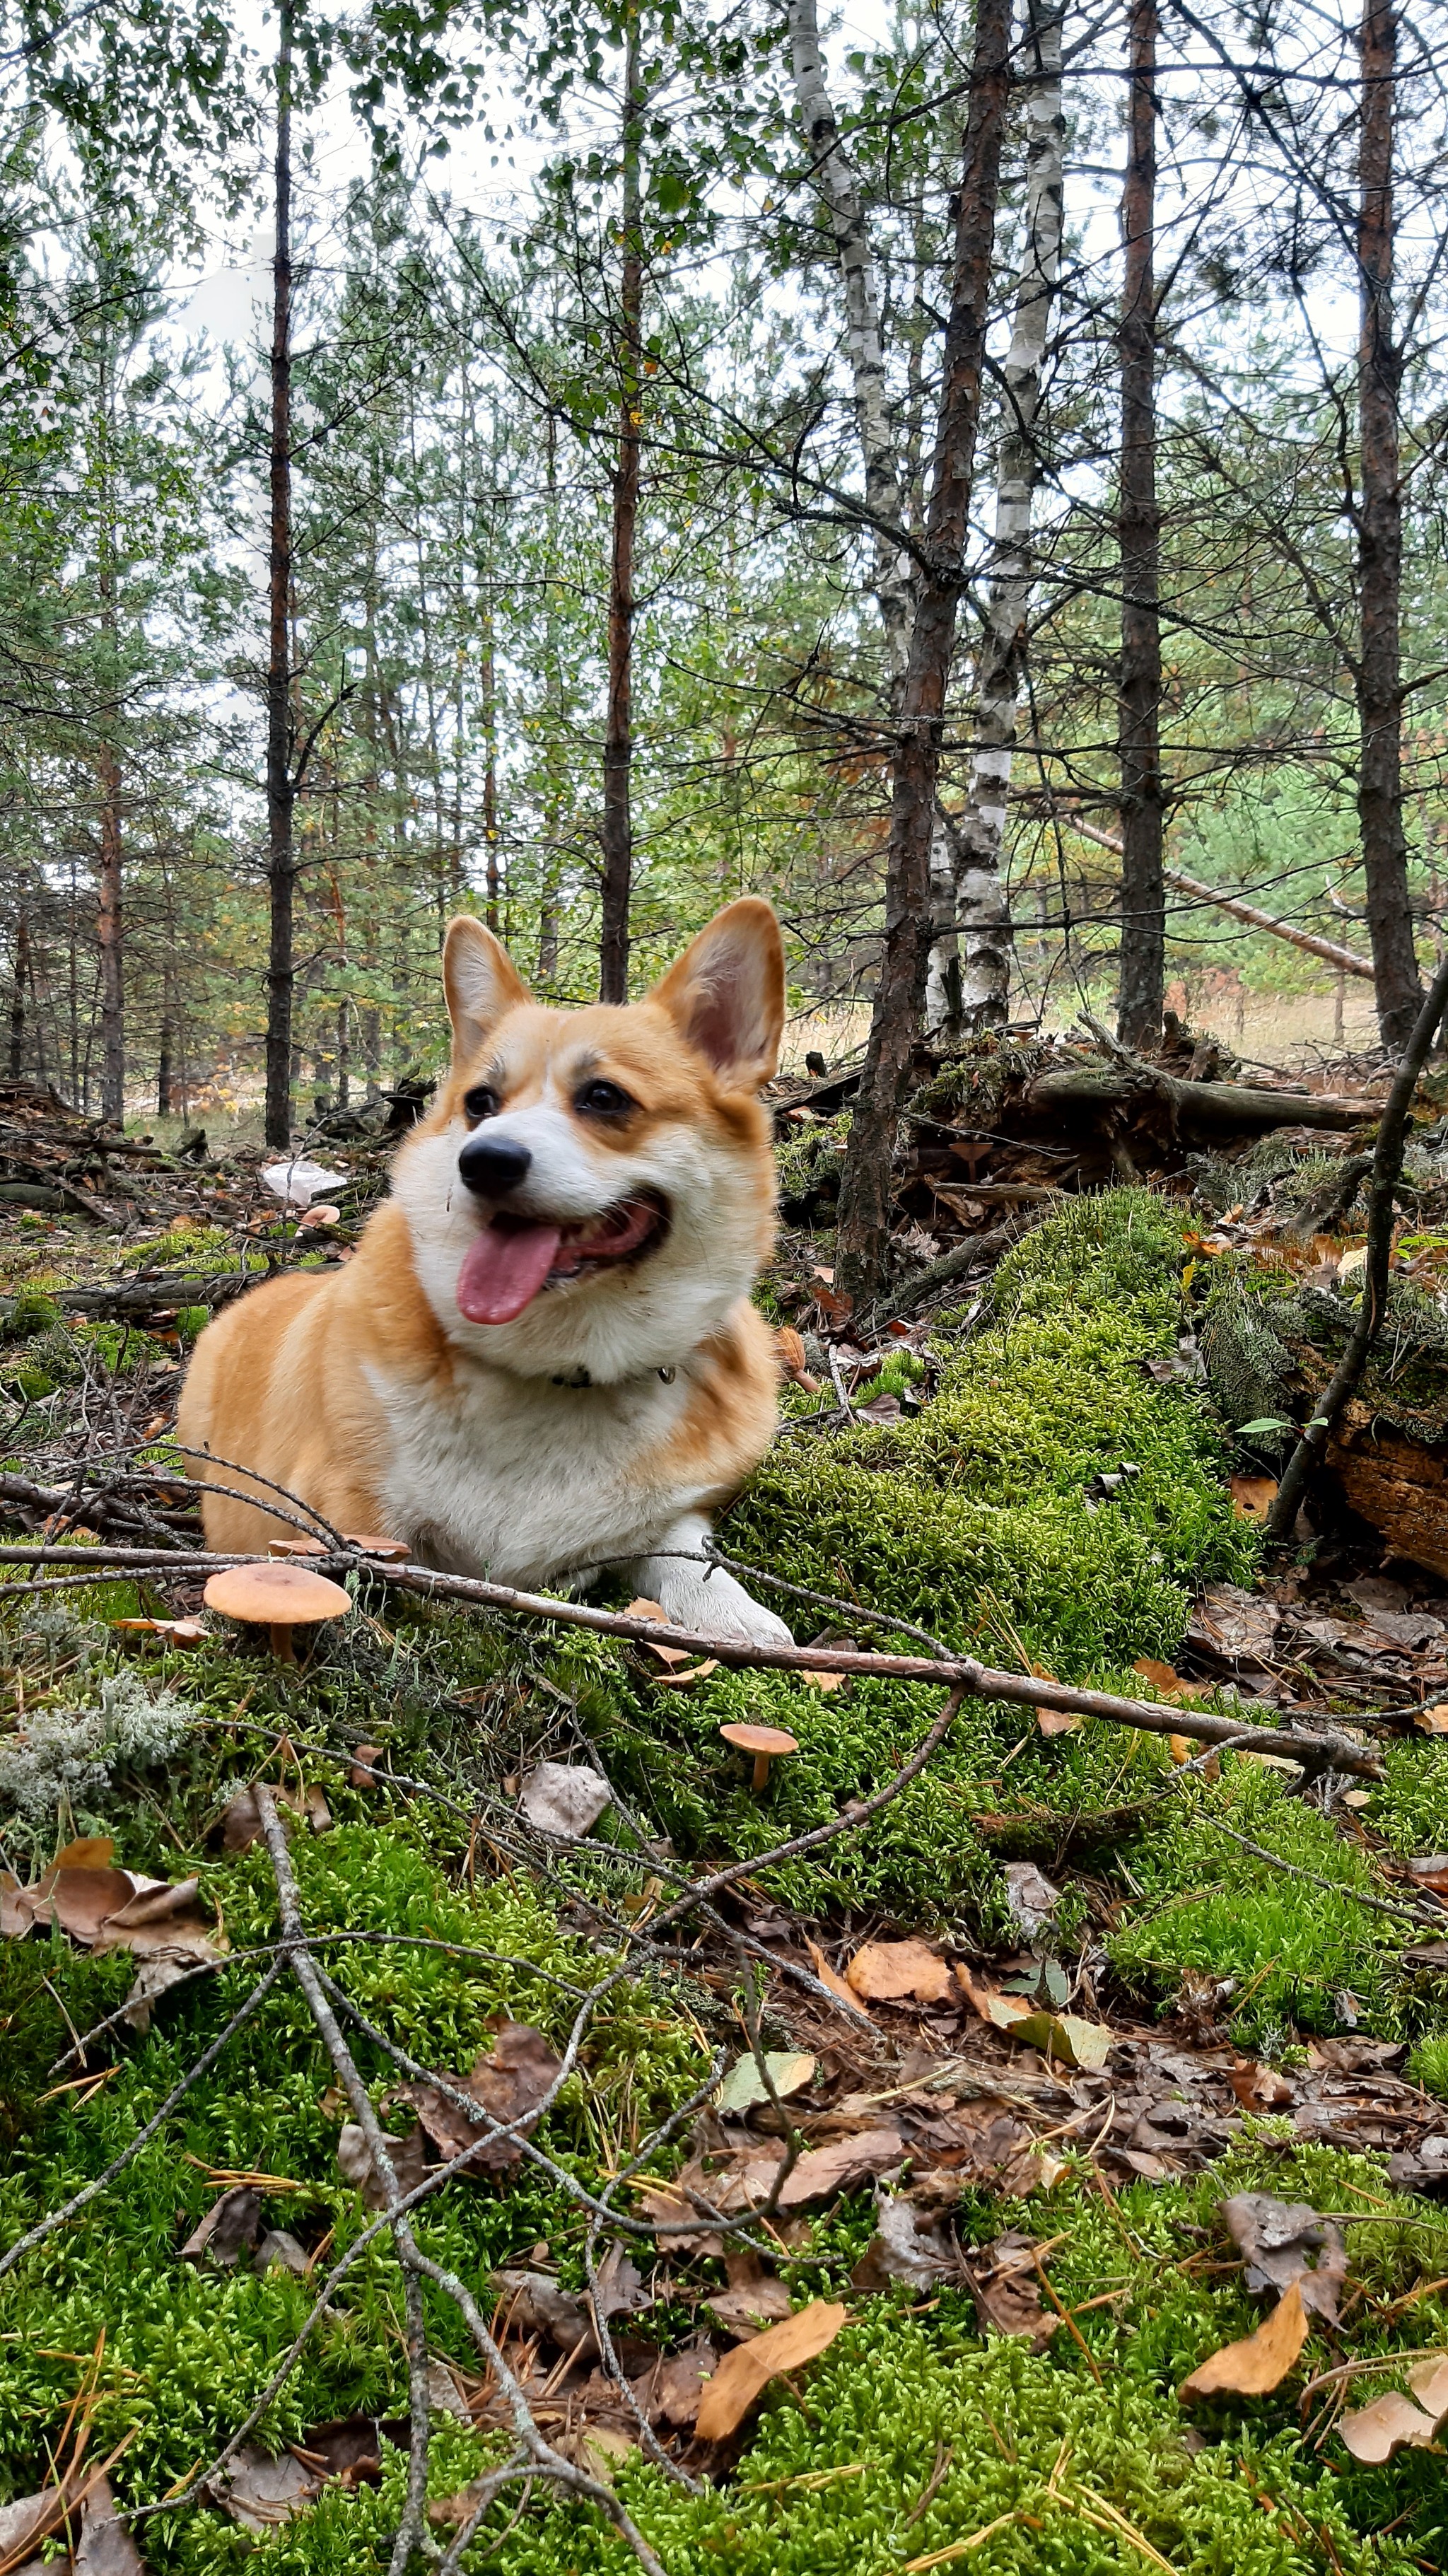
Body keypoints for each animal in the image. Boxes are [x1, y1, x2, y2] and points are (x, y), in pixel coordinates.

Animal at [179, 896, 793, 1638]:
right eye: (479, 1103)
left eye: (605, 1097)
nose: (484, 1162)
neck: (560, 1371)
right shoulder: (344, 1517)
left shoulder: (671, 1518)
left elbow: (686, 1556)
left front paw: (738, 1619)